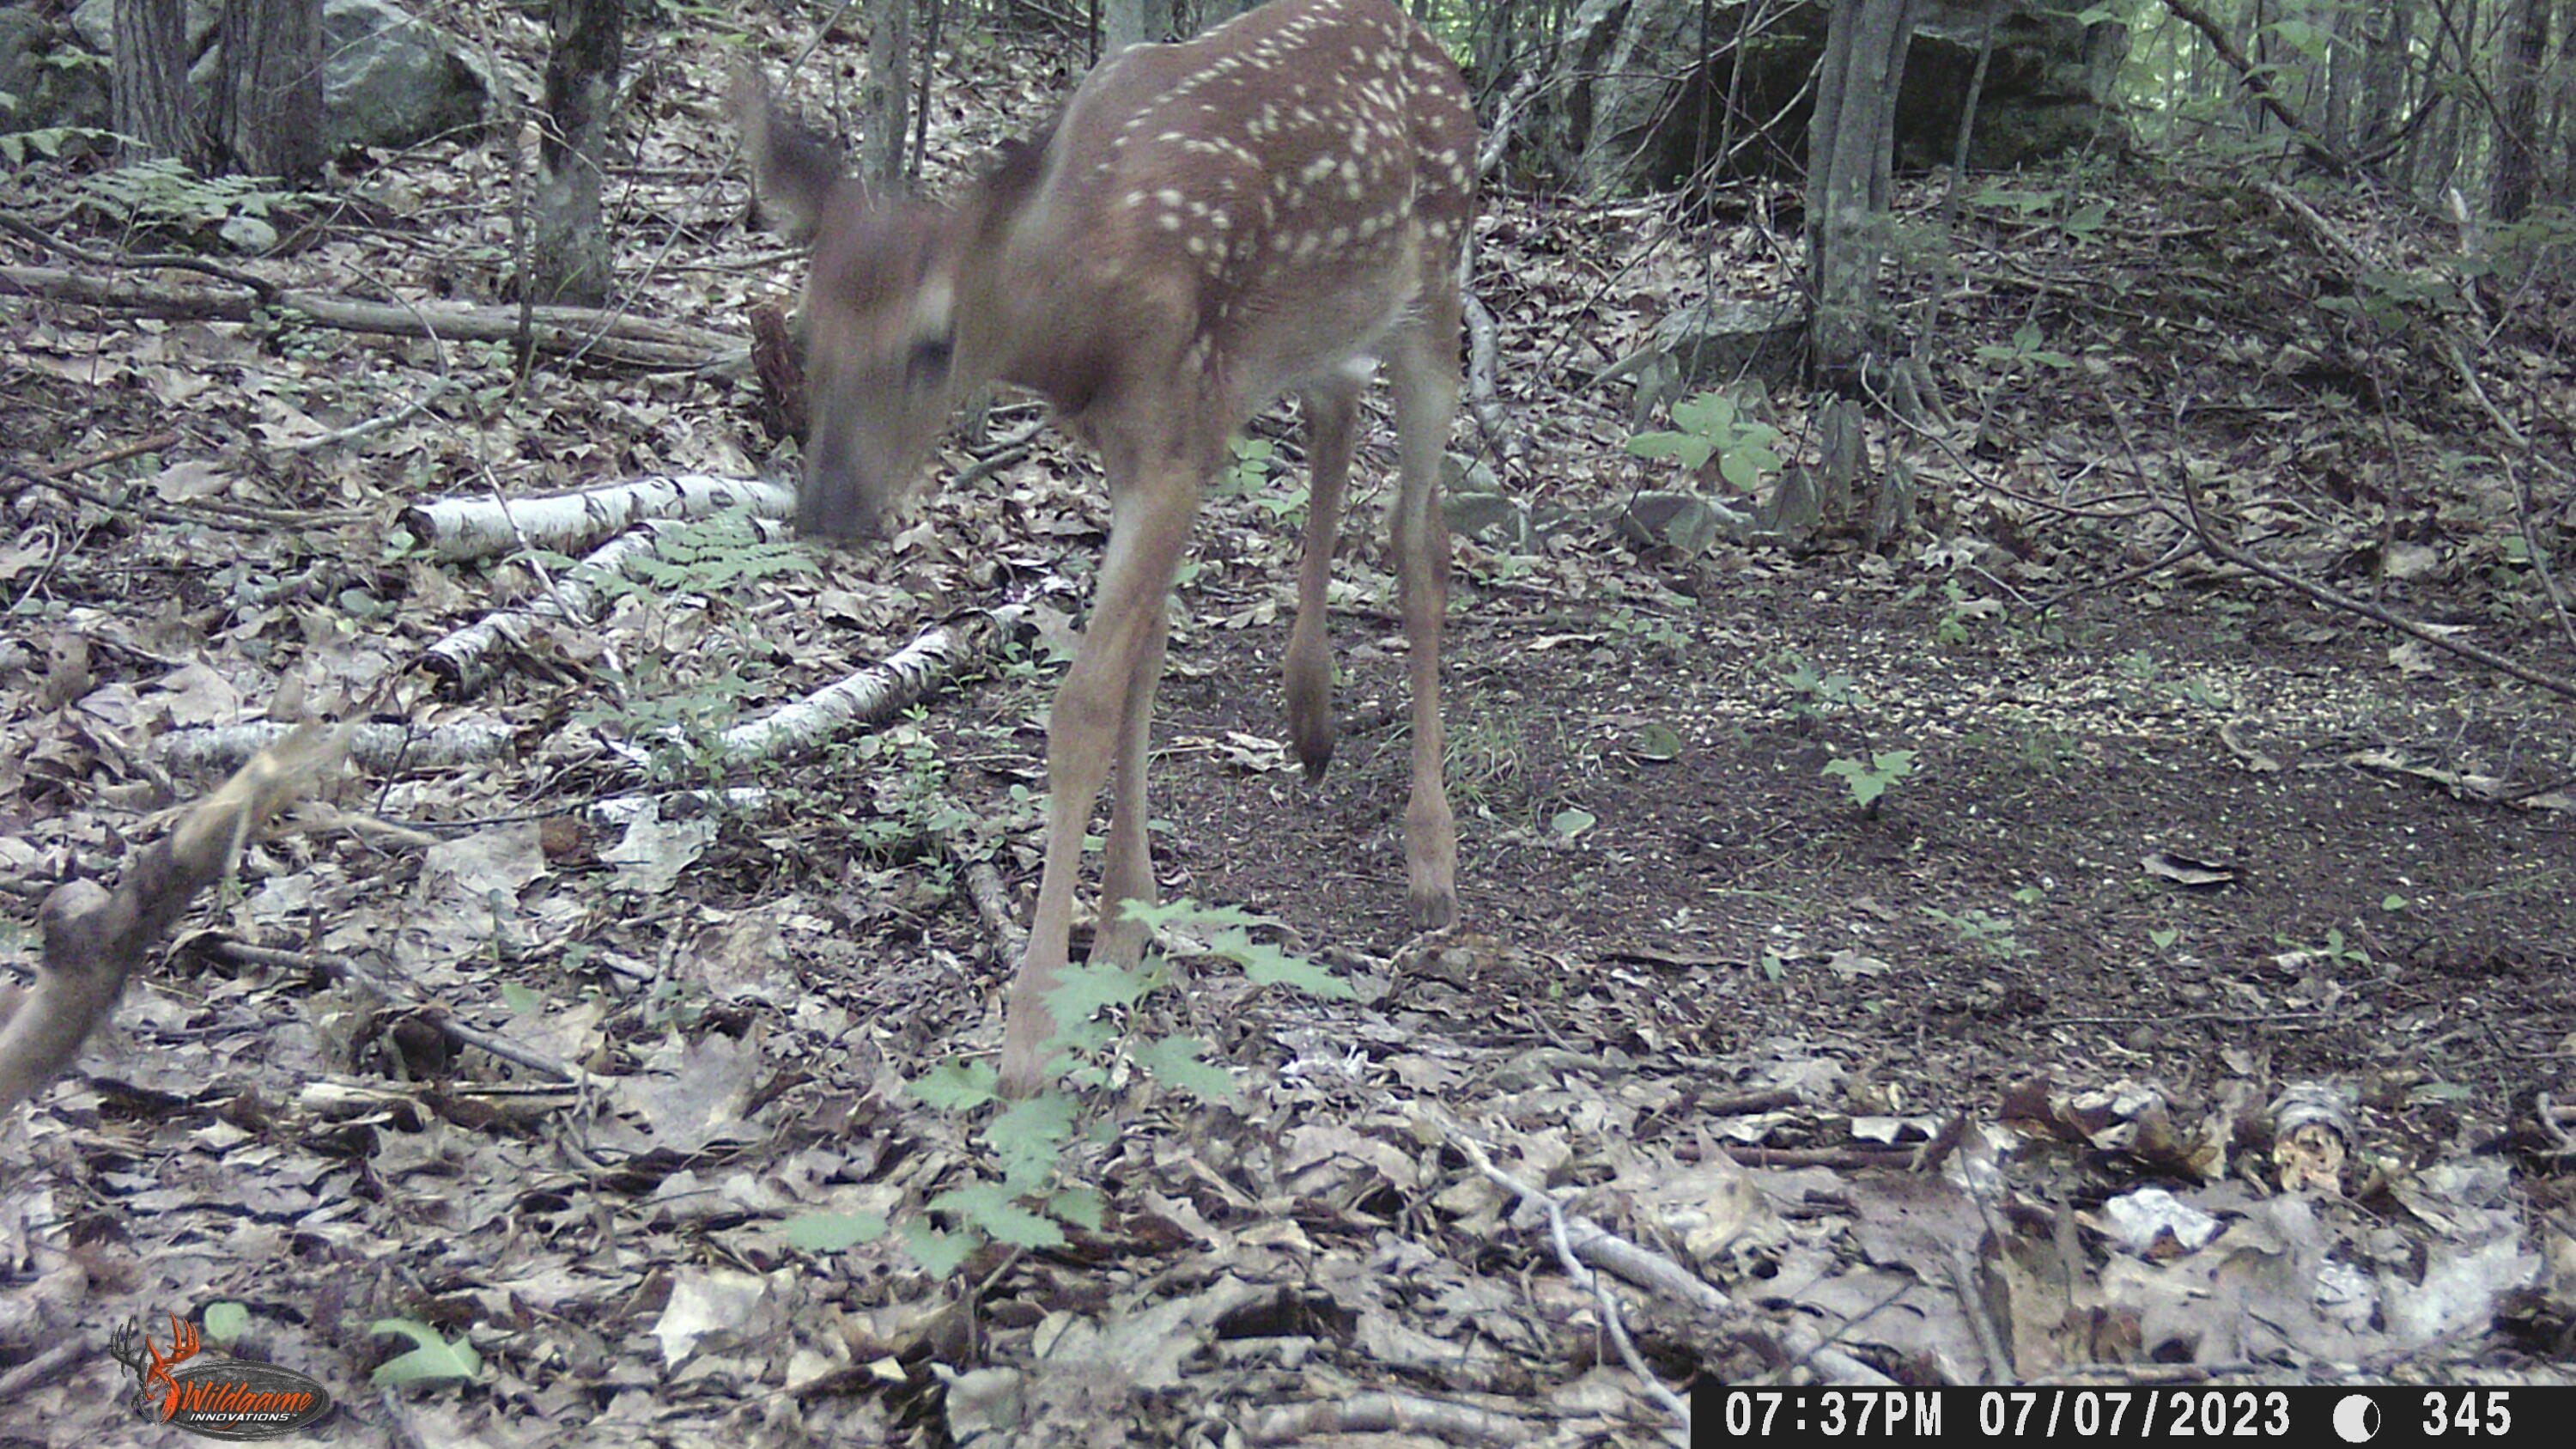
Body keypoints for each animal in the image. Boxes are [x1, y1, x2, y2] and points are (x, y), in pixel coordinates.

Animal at [737, 0, 1472, 1096]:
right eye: (807, 327)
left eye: (934, 343)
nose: (830, 506)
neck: (1081, 316)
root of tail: (1430, 50)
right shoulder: (1148, 444)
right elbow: (1145, 657)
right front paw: (1127, 920)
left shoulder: (1171, 444)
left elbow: (1084, 703)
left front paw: (1033, 1028)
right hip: (1311, 332)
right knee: (1336, 411)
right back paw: (1310, 715)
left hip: (1437, 290)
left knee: (1422, 541)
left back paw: (1431, 854)